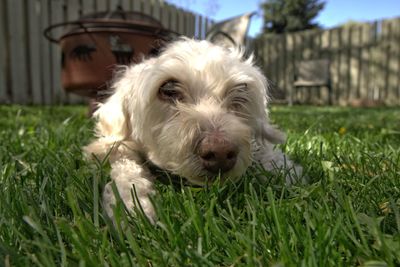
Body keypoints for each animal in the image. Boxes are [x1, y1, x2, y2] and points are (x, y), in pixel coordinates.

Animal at [85, 37, 304, 222]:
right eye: (168, 89)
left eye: (241, 92)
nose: (220, 153)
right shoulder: (115, 145)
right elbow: (124, 162)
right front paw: (131, 202)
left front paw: (281, 168)